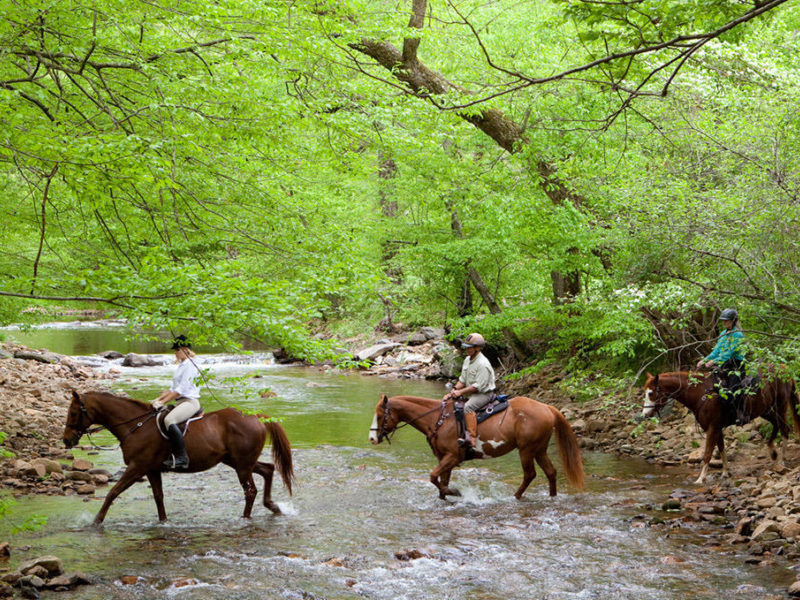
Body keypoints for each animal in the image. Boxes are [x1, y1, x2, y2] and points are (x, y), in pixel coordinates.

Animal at [63, 390, 295, 525]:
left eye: (73, 413)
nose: (66, 441)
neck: (136, 426)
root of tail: (257, 417)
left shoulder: (137, 467)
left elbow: (113, 492)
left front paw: (95, 521)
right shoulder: (151, 469)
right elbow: (158, 497)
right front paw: (163, 522)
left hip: (242, 465)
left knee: (250, 491)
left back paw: (245, 518)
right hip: (237, 461)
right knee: (268, 469)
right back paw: (273, 506)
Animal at [369, 394, 584, 500]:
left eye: (380, 415)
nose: (371, 438)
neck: (439, 419)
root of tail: (547, 407)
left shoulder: (452, 457)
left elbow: (433, 477)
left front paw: (455, 492)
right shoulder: (444, 458)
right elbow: (441, 481)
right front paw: (446, 496)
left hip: (527, 450)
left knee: (530, 474)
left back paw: (515, 497)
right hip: (539, 450)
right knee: (551, 472)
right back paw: (552, 497)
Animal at [641, 371, 800, 484]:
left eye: (651, 393)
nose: (644, 415)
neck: (700, 393)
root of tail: (784, 369)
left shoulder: (712, 428)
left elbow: (707, 454)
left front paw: (700, 479)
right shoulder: (717, 428)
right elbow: (722, 449)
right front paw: (725, 472)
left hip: (780, 406)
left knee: (785, 429)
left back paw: (782, 460)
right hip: (765, 410)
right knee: (776, 425)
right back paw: (772, 451)